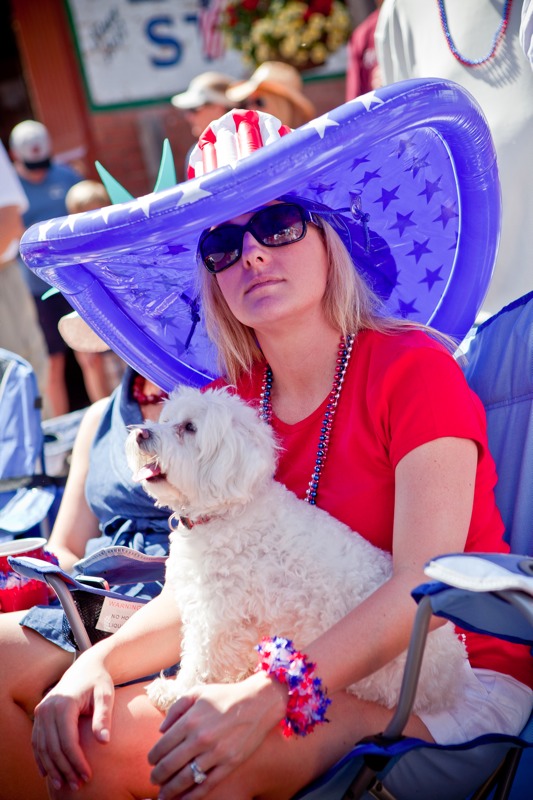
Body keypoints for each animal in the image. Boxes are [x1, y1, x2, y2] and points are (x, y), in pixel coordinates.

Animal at [125, 385, 468, 714]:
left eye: (189, 428)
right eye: (166, 419)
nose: (141, 433)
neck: (228, 512)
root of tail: (452, 681)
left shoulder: (218, 616)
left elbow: (200, 660)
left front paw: (176, 692)